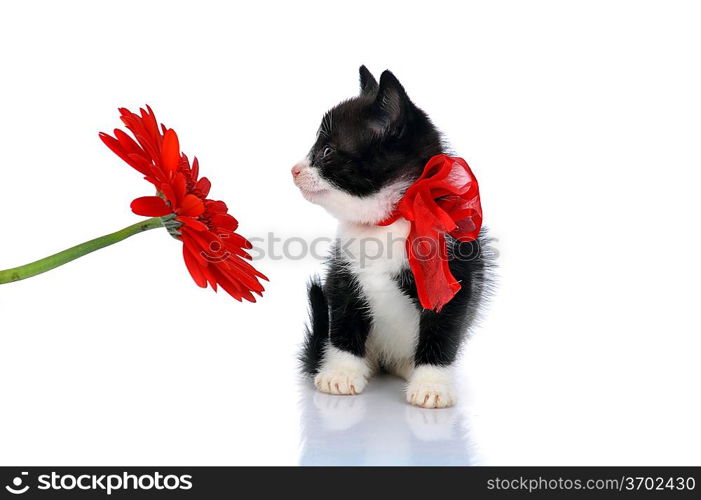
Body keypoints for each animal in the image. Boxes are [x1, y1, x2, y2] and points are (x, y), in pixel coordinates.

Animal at [292, 66, 490, 408]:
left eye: (327, 151)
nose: (294, 170)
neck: (390, 221)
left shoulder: (456, 273)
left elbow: (444, 329)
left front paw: (432, 384)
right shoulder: (344, 273)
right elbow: (343, 321)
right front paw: (341, 372)